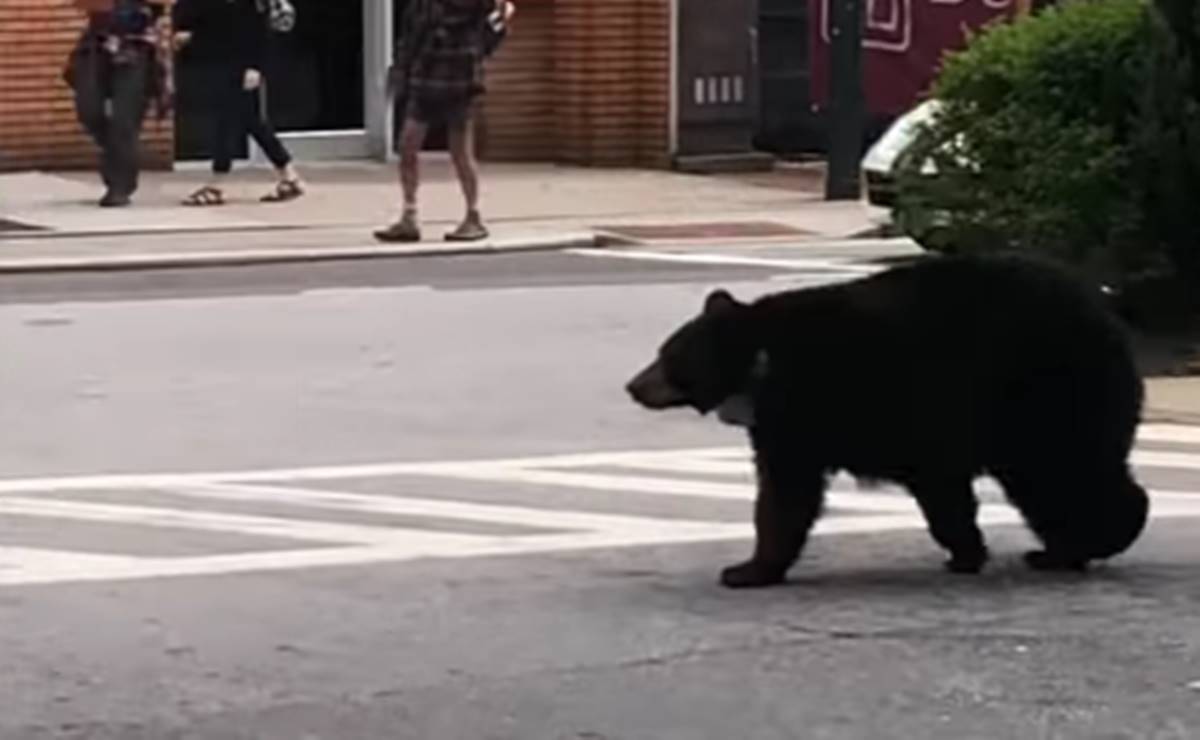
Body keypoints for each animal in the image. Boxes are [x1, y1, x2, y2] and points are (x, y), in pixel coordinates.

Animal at [624, 255, 1147, 587]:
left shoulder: (818, 409)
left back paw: (1098, 538)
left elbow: (787, 494)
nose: (632, 385)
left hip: (1048, 395)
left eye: (666, 356)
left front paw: (746, 570)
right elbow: (941, 490)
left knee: (1067, 471)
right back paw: (1062, 549)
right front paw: (966, 553)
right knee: (1050, 481)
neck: (763, 363)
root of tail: (1109, 317)